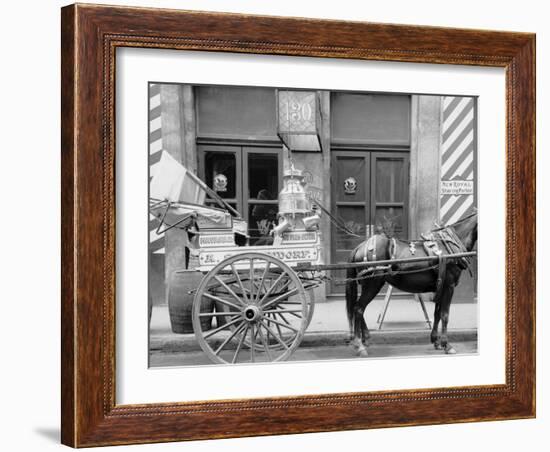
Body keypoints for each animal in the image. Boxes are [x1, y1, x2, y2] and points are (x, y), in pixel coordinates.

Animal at [344, 212, 478, 356]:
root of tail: (359, 247)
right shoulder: (449, 285)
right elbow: (445, 315)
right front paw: (447, 344)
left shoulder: (441, 286)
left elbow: (437, 314)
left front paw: (436, 341)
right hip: (373, 284)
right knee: (358, 308)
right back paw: (359, 344)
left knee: (358, 307)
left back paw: (365, 338)